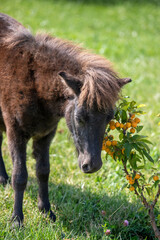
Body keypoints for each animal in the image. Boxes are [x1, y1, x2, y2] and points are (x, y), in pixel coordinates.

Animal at [0, 12, 131, 227]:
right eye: (80, 117)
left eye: (109, 118)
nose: (92, 166)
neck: (34, 82)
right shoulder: (16, 133)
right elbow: (20, 176)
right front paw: (17, 221)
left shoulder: (45, 135)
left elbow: (43, 171)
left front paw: (47, 212)